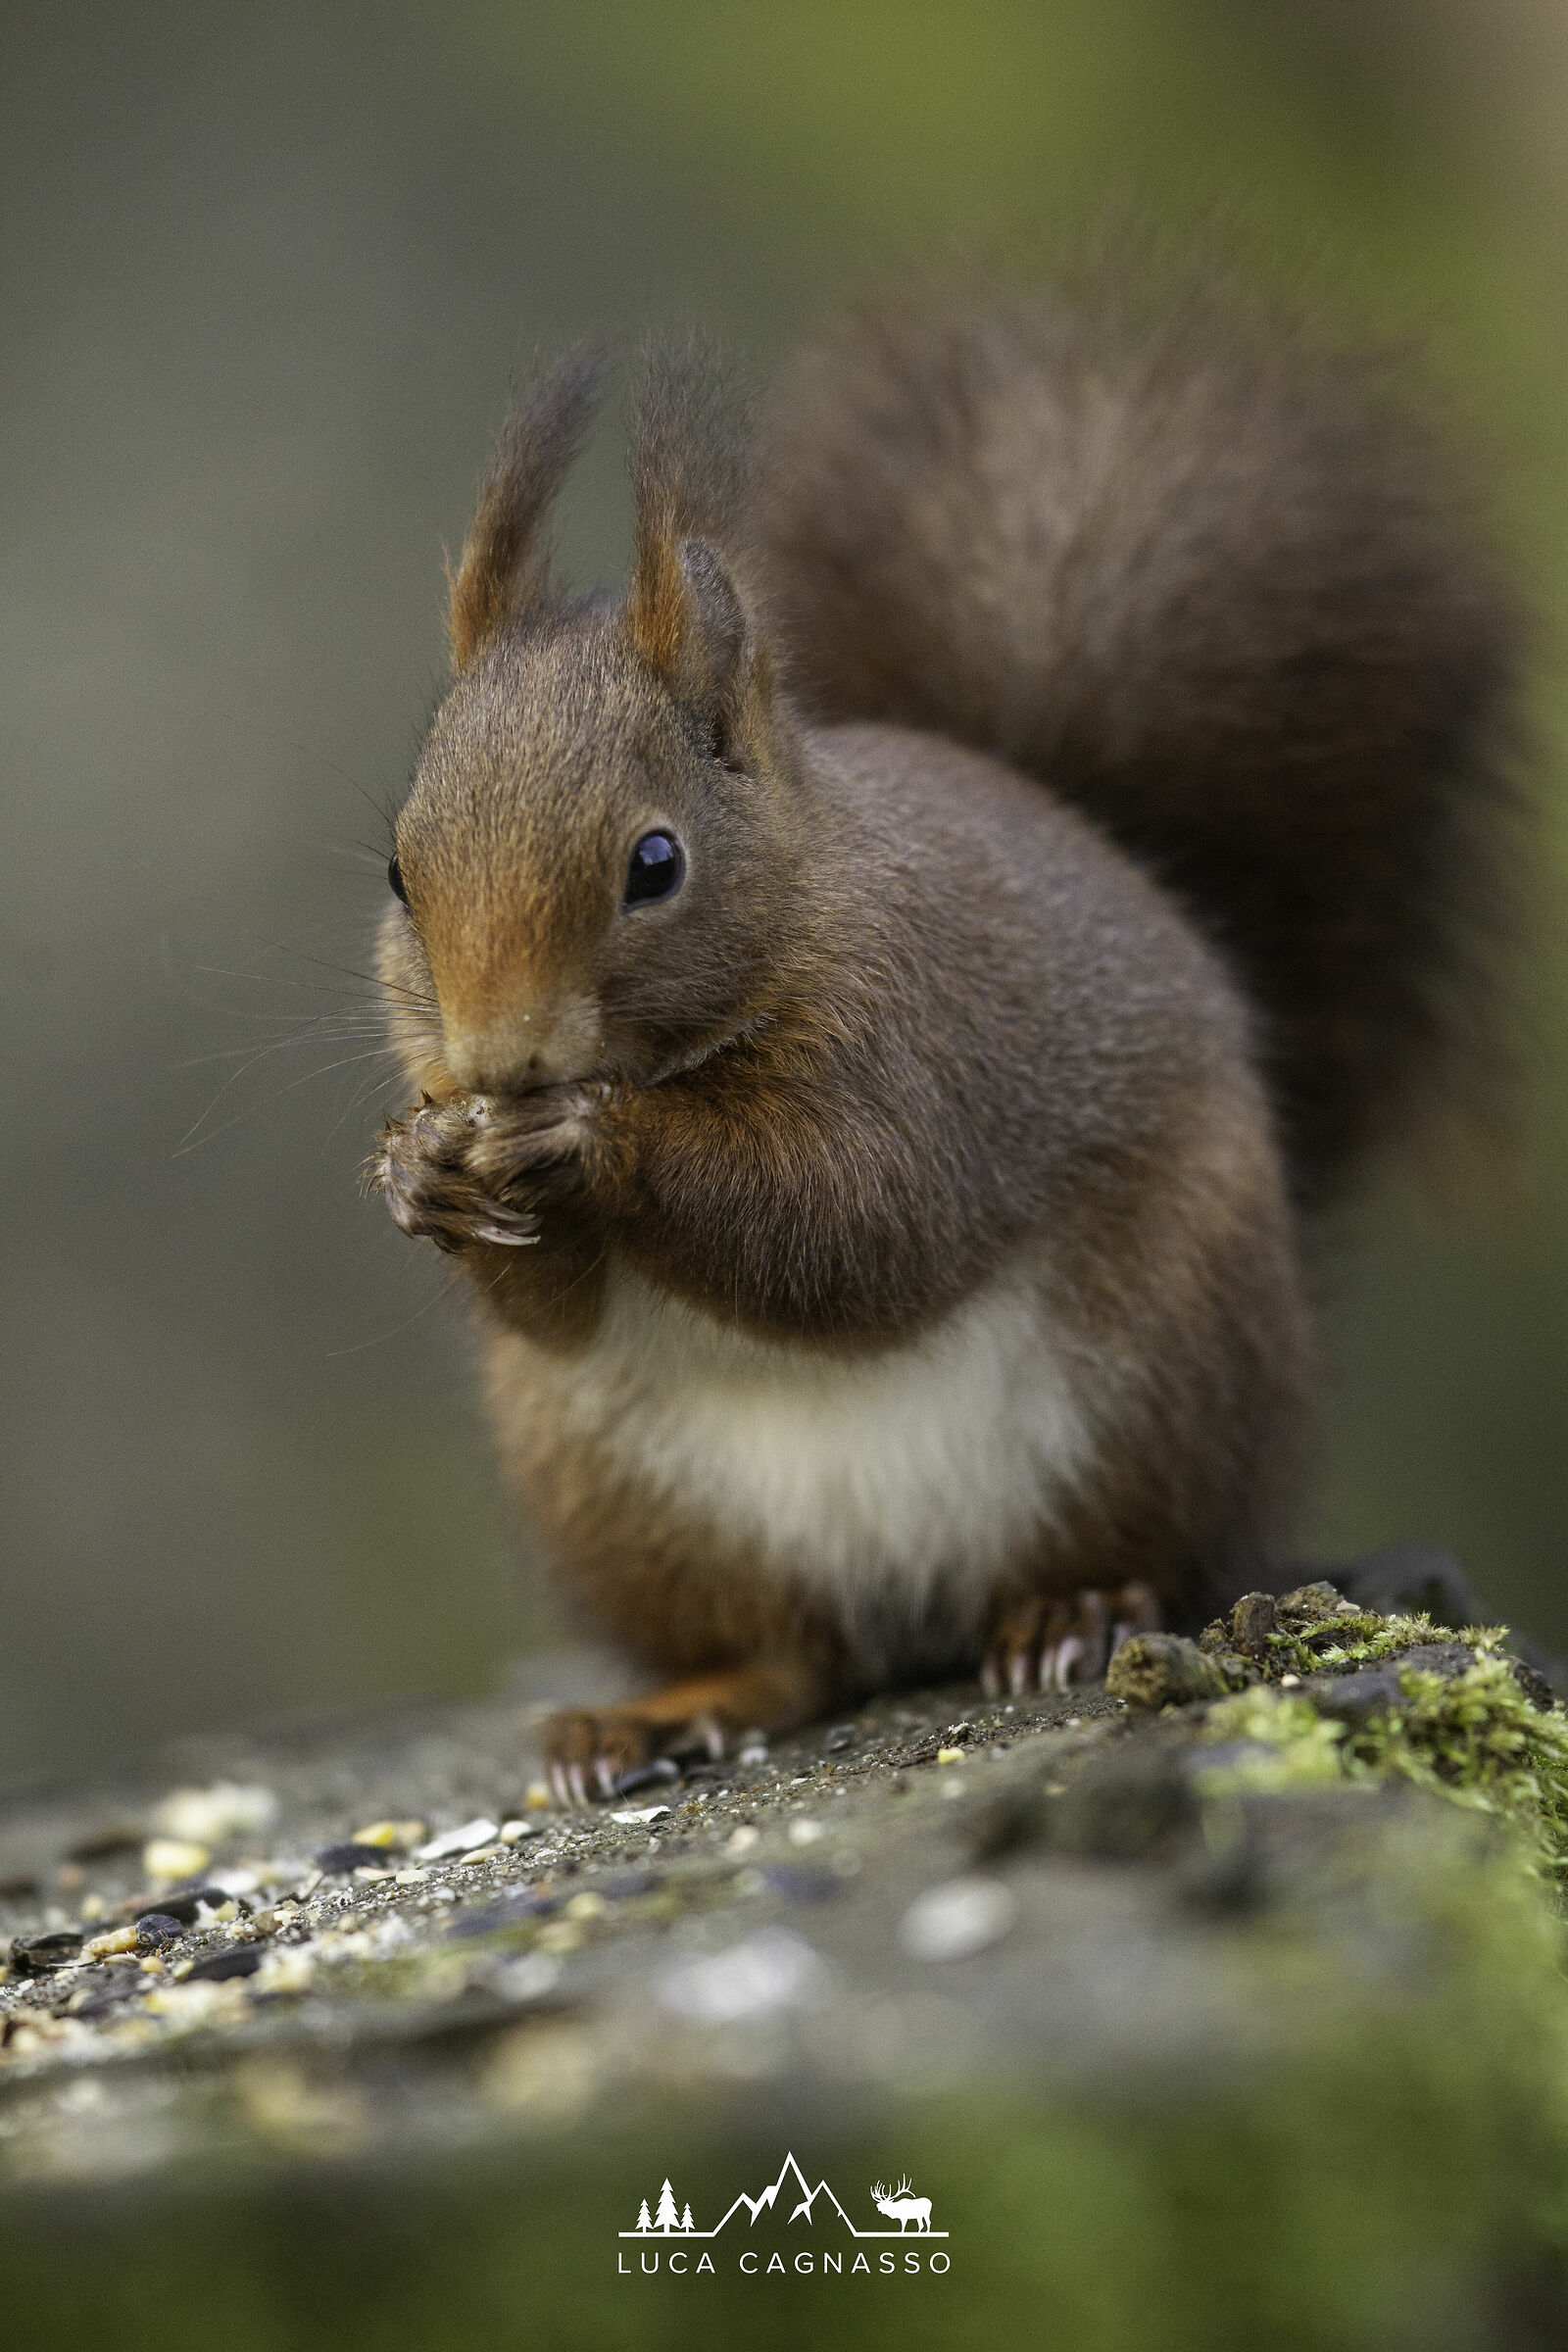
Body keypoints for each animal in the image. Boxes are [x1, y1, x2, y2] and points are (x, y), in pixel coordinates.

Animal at [369, 259, 1521, 1804]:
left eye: (655, 864)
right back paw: (657, 1714)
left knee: (1133, 1553)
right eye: (397, 870)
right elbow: (552, 1312)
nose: (498, 1066)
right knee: (790, 1658)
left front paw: (589, 1141)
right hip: (615, 1492)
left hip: (1156, 1381)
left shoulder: (924, 1045)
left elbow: (859, 1225)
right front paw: (419, 1167)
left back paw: (1073, 1613)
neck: (799, 914)